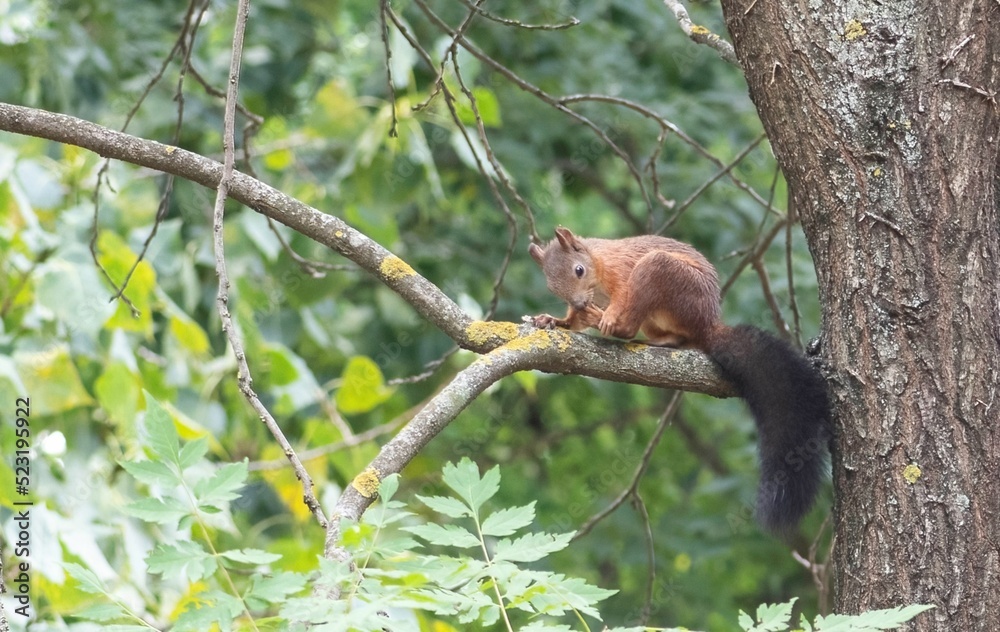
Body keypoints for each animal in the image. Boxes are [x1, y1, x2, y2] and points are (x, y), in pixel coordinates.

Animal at [532, 227, 828, 532]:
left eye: (579, 270)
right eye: (551, 286)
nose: (579, 302)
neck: (598, 267)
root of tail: (707, 326)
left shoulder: (621, 271)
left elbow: (621, 295)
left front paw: (606, 315)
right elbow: (574, 321)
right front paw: (556, 320)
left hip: (663, 273)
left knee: (632, 326)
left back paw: (611, 322)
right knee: (675, 338)